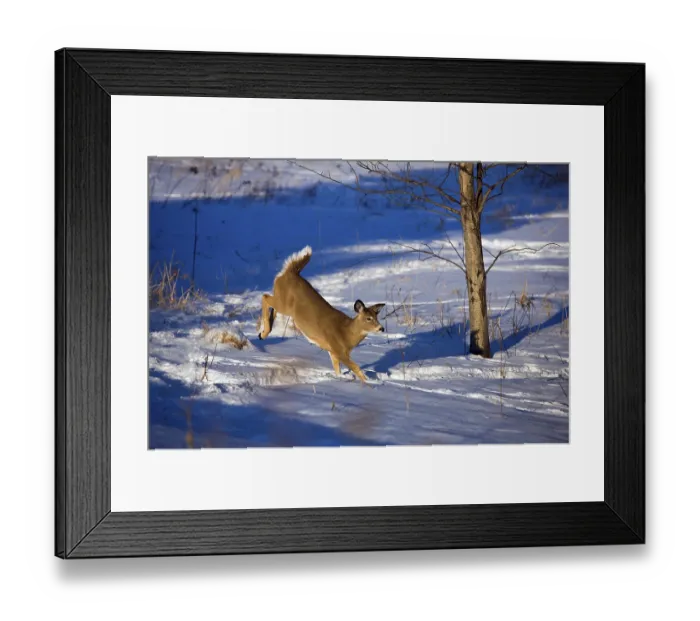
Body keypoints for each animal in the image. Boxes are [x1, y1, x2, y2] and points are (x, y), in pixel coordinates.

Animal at [258, 246, 385, 383]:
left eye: (376, 317)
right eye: (368, 318)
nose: (381, 328)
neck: (346, 333)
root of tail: (291, 272)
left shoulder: (333, 352)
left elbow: (338, 370)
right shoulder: (339, 350)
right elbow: (356, 368)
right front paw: (370, 382)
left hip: (282, 301)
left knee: (272, 307)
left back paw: (263, 334)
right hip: (284, 304)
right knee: (265, 297)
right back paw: (263, 332)